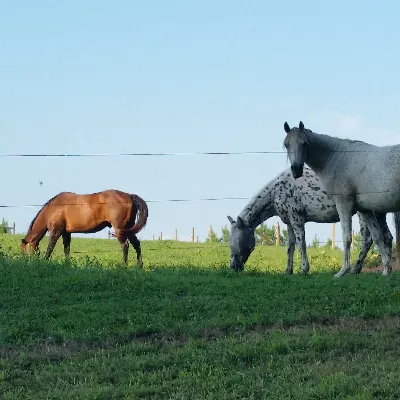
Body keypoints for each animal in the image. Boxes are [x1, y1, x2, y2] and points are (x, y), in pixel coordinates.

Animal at [20, 190, 148, 266]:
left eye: (24, 250)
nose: (25, 262)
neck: (53, 208)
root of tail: (129, 195)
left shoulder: (56, 231)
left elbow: (50, 247)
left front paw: (45, 261)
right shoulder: (66, 233)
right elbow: (67, 249)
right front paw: (67, 264)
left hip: (120, 229)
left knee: (125, 246)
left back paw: (124, 265)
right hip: (128, 228)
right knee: (136, 244)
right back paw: (139, 265)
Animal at [227, 166, 392, 276]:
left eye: (239, 241)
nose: (234, 266)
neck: (278, 190)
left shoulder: (297, 219)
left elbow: (302, 244)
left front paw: (304, 269)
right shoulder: (289, 222)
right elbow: (290, 247)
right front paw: (288, 271)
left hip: (364, 213)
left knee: (367, 239)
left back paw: (355, 269)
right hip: (379, 213)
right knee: (387, 237)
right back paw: (387, 268)